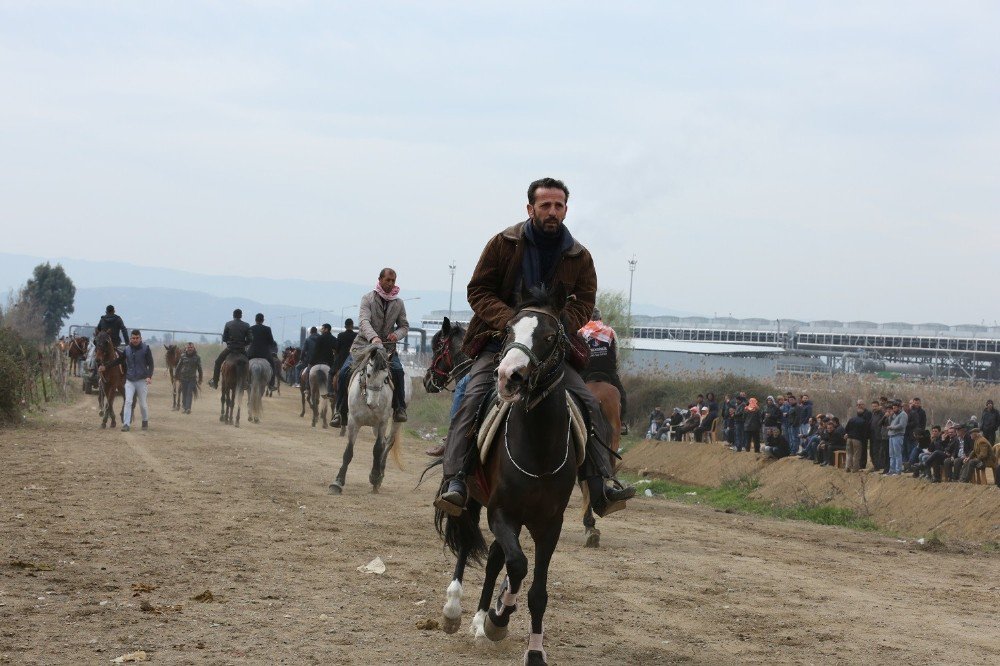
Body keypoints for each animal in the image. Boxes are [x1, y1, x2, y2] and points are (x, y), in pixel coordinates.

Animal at [330, 348, 404, 492]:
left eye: (386, 378)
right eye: (368, 375)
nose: (373, 403)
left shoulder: (382, 422)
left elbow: (377, 449)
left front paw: (375, 477)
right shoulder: (353, 422)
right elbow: (348, 451)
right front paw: (338, 482)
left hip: (394, 423)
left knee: (387, 444)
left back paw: (379, 475)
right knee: (385, 443)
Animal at [436, 286, 580, 664]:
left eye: (550, 336)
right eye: (508, 331)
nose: (508, 375)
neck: (539, 449)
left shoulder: (550, 525)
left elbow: (536, 591)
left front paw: (534, 651)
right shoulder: (501, 512)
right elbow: (516, 565)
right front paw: (498, 619)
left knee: (493, 560)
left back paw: (481, 616)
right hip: (471, 497)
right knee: (467, 543)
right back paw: (456, 610)